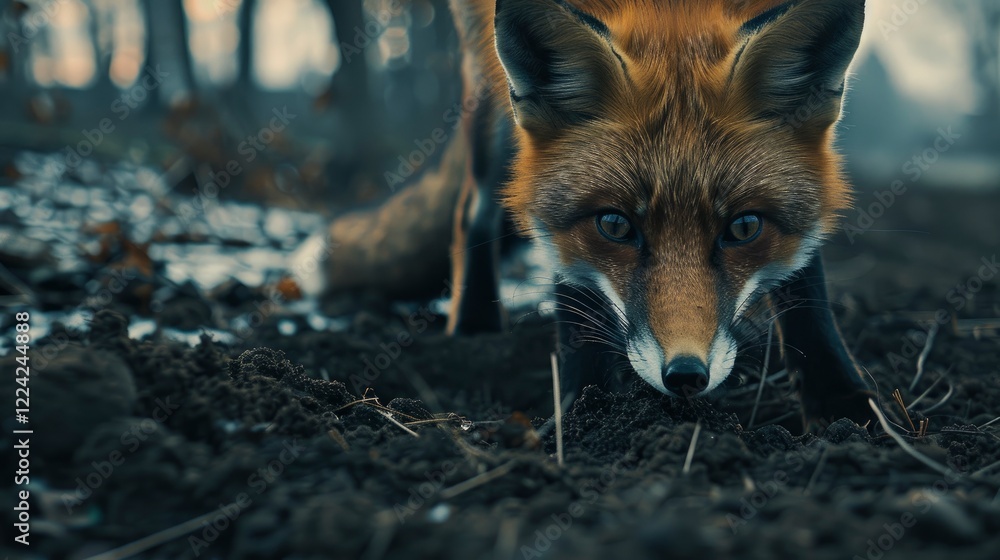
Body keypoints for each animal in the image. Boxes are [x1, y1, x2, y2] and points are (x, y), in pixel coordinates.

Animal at [295, 0, 875, 430]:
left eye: (744, 227)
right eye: (615, 226)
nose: (686, 375)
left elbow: (805, 281)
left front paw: (840, 402)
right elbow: (573, 286)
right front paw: (584, 414)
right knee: (473, 210)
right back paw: (475, 332)